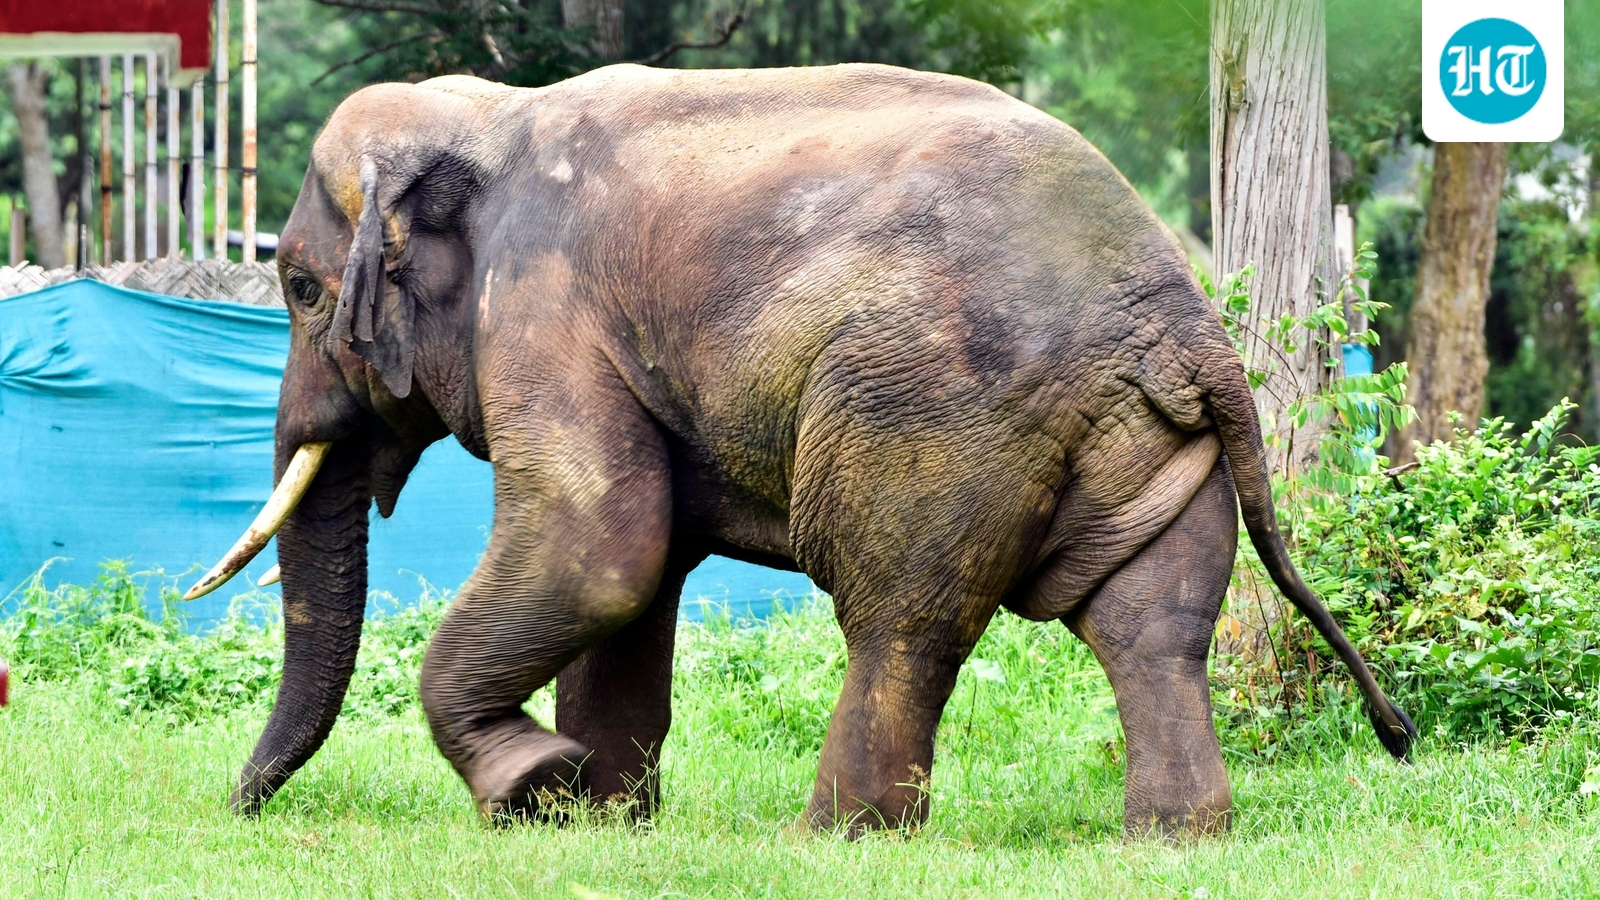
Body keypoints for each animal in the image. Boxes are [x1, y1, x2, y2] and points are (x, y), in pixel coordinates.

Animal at [187, 62, 1415, 840]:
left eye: (297, 288)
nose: (238, 813)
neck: (490, 118)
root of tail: (1181, 312)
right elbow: (634, 579)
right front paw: (597, 819)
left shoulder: (545, 308)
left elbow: (599, 549)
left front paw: (533, 789)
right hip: (1147, 433)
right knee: (1152, 624)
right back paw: (1173, 838)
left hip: (935, 414)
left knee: (900, 619)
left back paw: (837, 836)